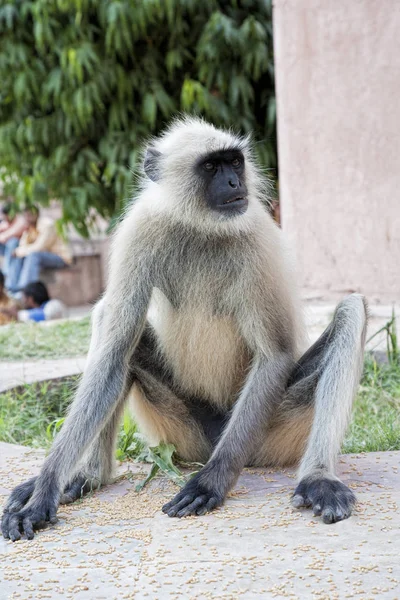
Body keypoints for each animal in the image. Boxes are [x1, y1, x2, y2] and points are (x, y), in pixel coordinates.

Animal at [0, 115, 368, 540]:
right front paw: (44, 490)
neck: (201, 226)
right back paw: (89, 475)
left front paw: (210, 483)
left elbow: (274, 355)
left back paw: (316, 478)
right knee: (110, 324)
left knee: (351, 310)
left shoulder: (256, 235)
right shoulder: (140, 229)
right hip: (182, 429)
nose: (234, 183)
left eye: (234, 162)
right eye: (211, 167)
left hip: (271, 432)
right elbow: (113, 355)